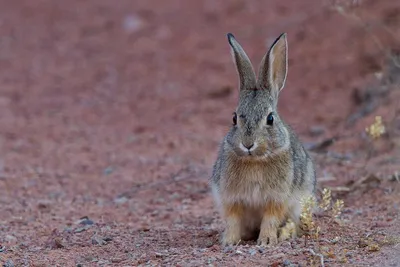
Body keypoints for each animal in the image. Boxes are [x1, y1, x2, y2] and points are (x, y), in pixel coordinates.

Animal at [211, 33, 318, 247]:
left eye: (270, 119)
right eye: (234, 118)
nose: (248, 144)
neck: (255, 161)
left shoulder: (277, 198)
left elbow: (271, 218)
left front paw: (267, 240)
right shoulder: (231, 198)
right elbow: (233, 219)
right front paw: (229, 241)